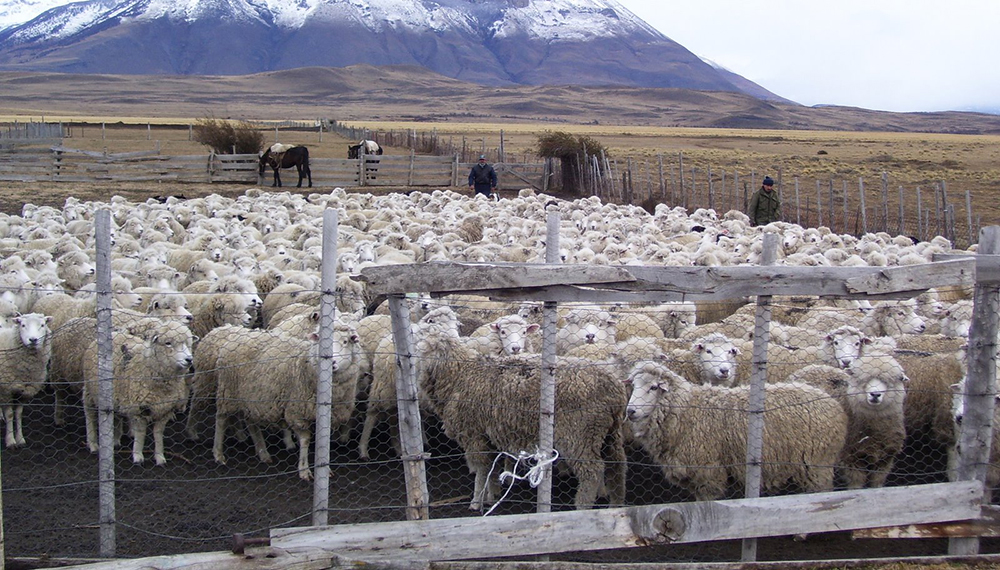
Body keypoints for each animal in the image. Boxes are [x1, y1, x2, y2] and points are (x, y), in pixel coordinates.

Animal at [0, 313, 53, 447]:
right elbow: (10, 414)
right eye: (23, 325)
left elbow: (18, 414)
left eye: (42, 325)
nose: (33, 340)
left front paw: (20, 439)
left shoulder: (25, 391)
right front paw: (10, 441)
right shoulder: (6, 390)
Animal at [81, 320, 195, 465]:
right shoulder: (139, 408)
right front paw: (138, 456)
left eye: (189, 343)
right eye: (168, 343)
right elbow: (141, 433)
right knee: (89, 414)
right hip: (90, 391)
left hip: (117, 395)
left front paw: (160, 456)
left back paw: (115, 440)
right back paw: (93, 444)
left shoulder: (166, 410)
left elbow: (158, 434)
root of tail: (113, 333)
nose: (189, 360)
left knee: (117, 415)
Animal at [212, 322, 361, 481]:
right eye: (320, 341)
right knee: (221, 419)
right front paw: (304, 470)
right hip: (228, 392)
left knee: (251, 422)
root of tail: (236, 335)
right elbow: (305, 439)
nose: (331, 362)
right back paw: (218, 454)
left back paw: (263, 453)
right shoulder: (296, 412)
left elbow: (323, 443)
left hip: (252, 397)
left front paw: (325, 469)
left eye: (345, 341)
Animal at [413, 321, 628, 510]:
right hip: (607, 432)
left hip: (579, 433)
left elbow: (482, 469)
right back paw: (615, 503)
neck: (459, 375)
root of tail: (612, 385)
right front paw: (493, 495)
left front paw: (476, 501)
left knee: (592, 472)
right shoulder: (489, 433)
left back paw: (582, 506)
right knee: (617, 466)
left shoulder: (473, 434)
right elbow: (492, 468)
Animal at [625, 360, 847, 501]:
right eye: (633, 386)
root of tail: (833, 405)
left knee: (820, 493)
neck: (685, 411)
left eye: (653, 387)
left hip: (817, 463)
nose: (631, 411)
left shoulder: (709, 473)